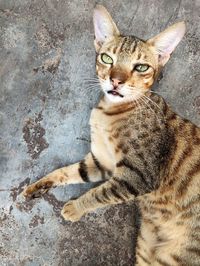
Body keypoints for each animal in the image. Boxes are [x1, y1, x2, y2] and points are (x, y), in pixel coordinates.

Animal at [22, 4, 200, 266]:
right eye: (107, 58)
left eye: (141, 67)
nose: (116, 80)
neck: (109, 112)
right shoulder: (101, 162)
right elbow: (67, 172)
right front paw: (39, 186)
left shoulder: (136, 176)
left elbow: (100, 194)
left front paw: (75, 208)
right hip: (146, 247)